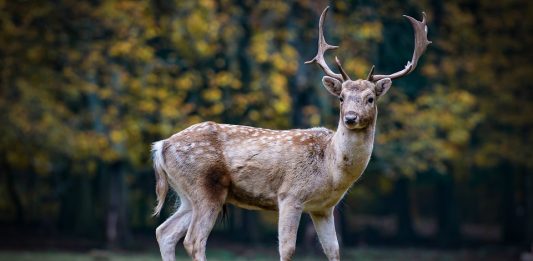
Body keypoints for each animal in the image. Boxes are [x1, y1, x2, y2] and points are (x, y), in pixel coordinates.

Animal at [152, 6, 430, 260]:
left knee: (164, 231)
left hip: (187, 194)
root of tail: (161, 146)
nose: (350, 118)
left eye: (370, 98)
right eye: (341, 97)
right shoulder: (289, 195)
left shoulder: (324, 208)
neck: (330, 169)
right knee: (193, 240)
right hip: (206, 186)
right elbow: (287, 249)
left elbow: (334, 251)